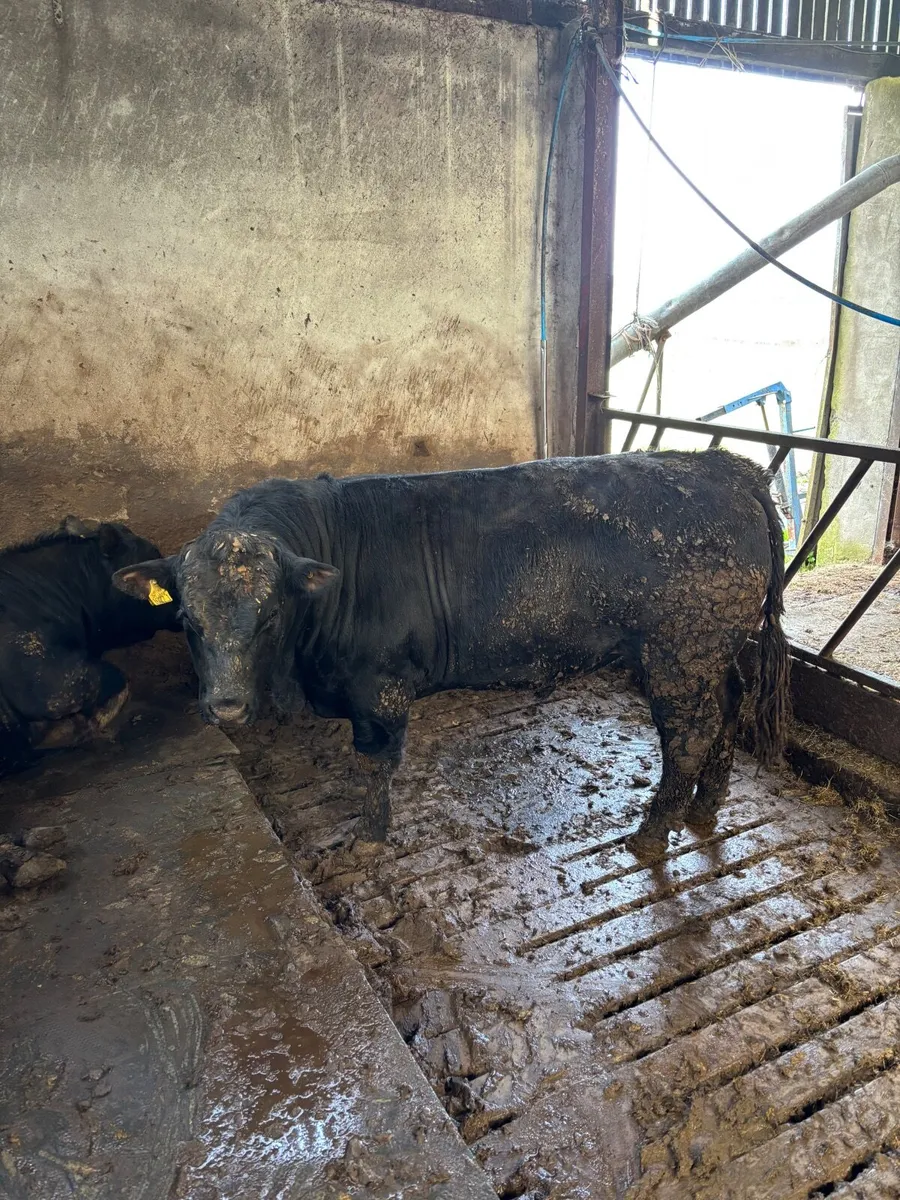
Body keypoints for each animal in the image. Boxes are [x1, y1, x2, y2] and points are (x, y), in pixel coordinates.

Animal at [113, 451, 790, 855]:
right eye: (185, 619)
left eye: (271, 614)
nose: (225, 707)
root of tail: (721, 466)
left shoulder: (379, 687)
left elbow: (373, 764)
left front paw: (369, 836)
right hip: (714, 652)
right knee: (728, 714)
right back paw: (704, 810)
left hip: (681, 653)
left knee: (691, 734)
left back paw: (653, 832)